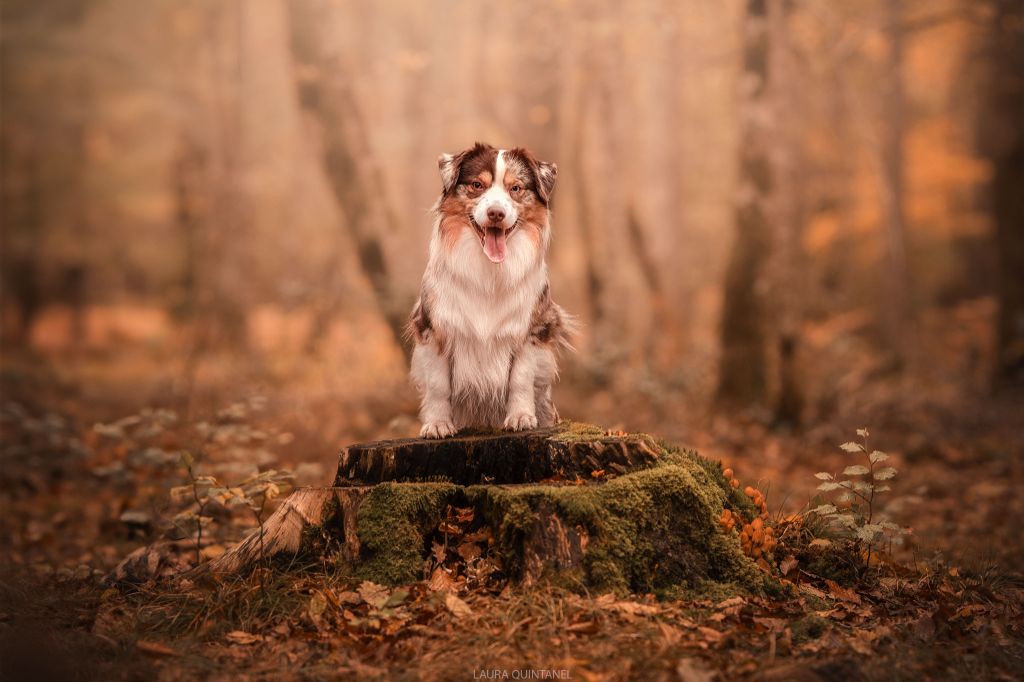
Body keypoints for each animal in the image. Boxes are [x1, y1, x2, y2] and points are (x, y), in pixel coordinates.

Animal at [405, 142, 573, 436]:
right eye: (477, 185)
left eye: (515, 188)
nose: (496, 213)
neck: (488, 270)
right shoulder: (433, 327)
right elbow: (438, 385)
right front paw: (437, 423)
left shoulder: (530, 329)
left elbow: (520, 378)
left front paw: (520, 417)